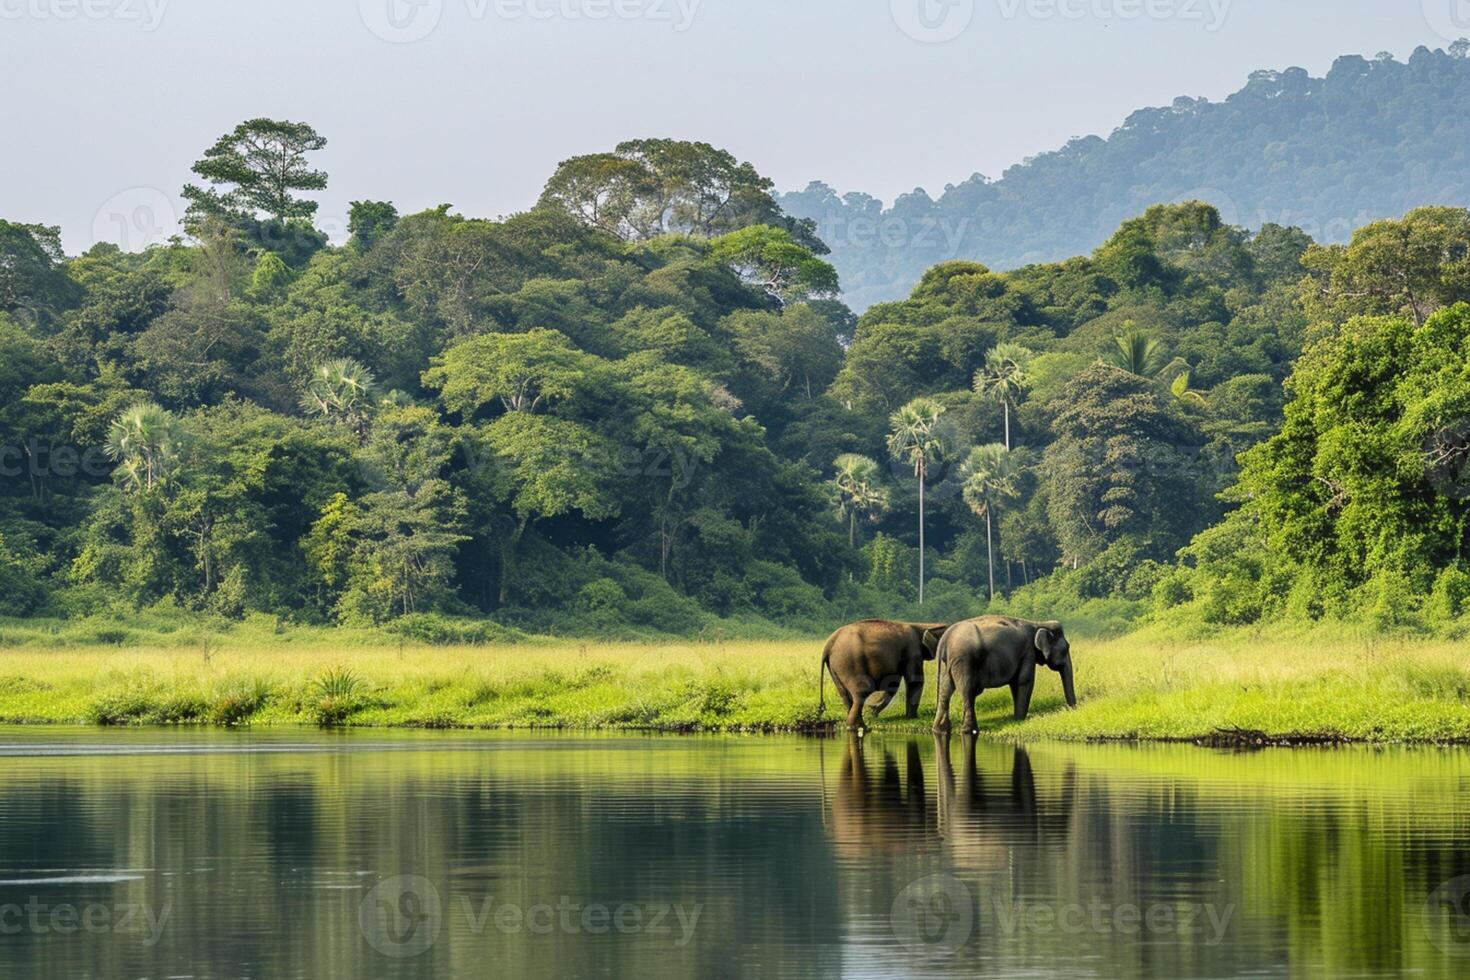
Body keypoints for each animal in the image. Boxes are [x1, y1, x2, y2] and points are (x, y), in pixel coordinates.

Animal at [934, 617, 1076, 731]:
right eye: (1067, 648)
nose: (1071, 709)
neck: (1038, 623)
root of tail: (945, 638)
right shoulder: (1028, 652)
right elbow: (1024, 681)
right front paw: (1019, 719)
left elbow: (1015, 684)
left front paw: (1016, 718)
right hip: (964, 660)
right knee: (967, 691)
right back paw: (969, 730)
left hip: (947, 663)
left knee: (945, 690)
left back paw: (939, 729)